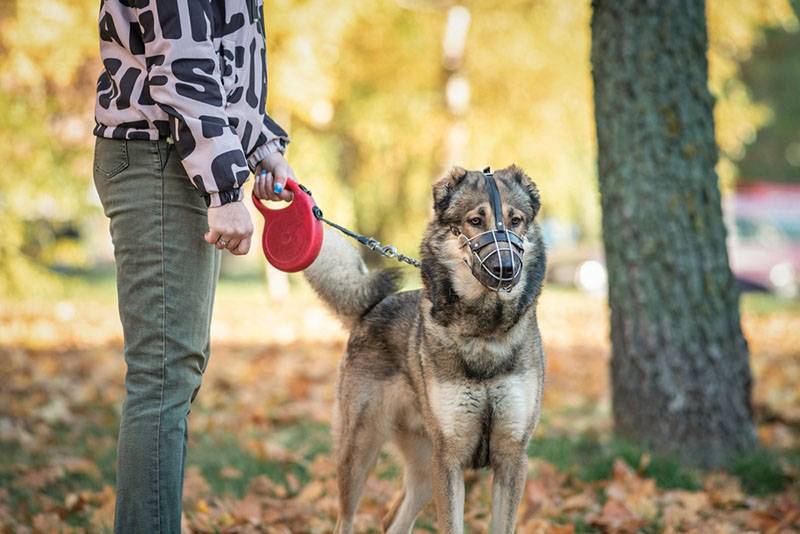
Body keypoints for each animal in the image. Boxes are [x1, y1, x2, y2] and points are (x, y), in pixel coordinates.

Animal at [304, 165, 548, 532]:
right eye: (475, 221)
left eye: (515, 220)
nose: (505, 269)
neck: (484, 331)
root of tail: (371, 307)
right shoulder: (449, 461)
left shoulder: (512, 459)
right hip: (361, 454)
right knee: (345, 520)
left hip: (422, 472)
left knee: (392, 519)